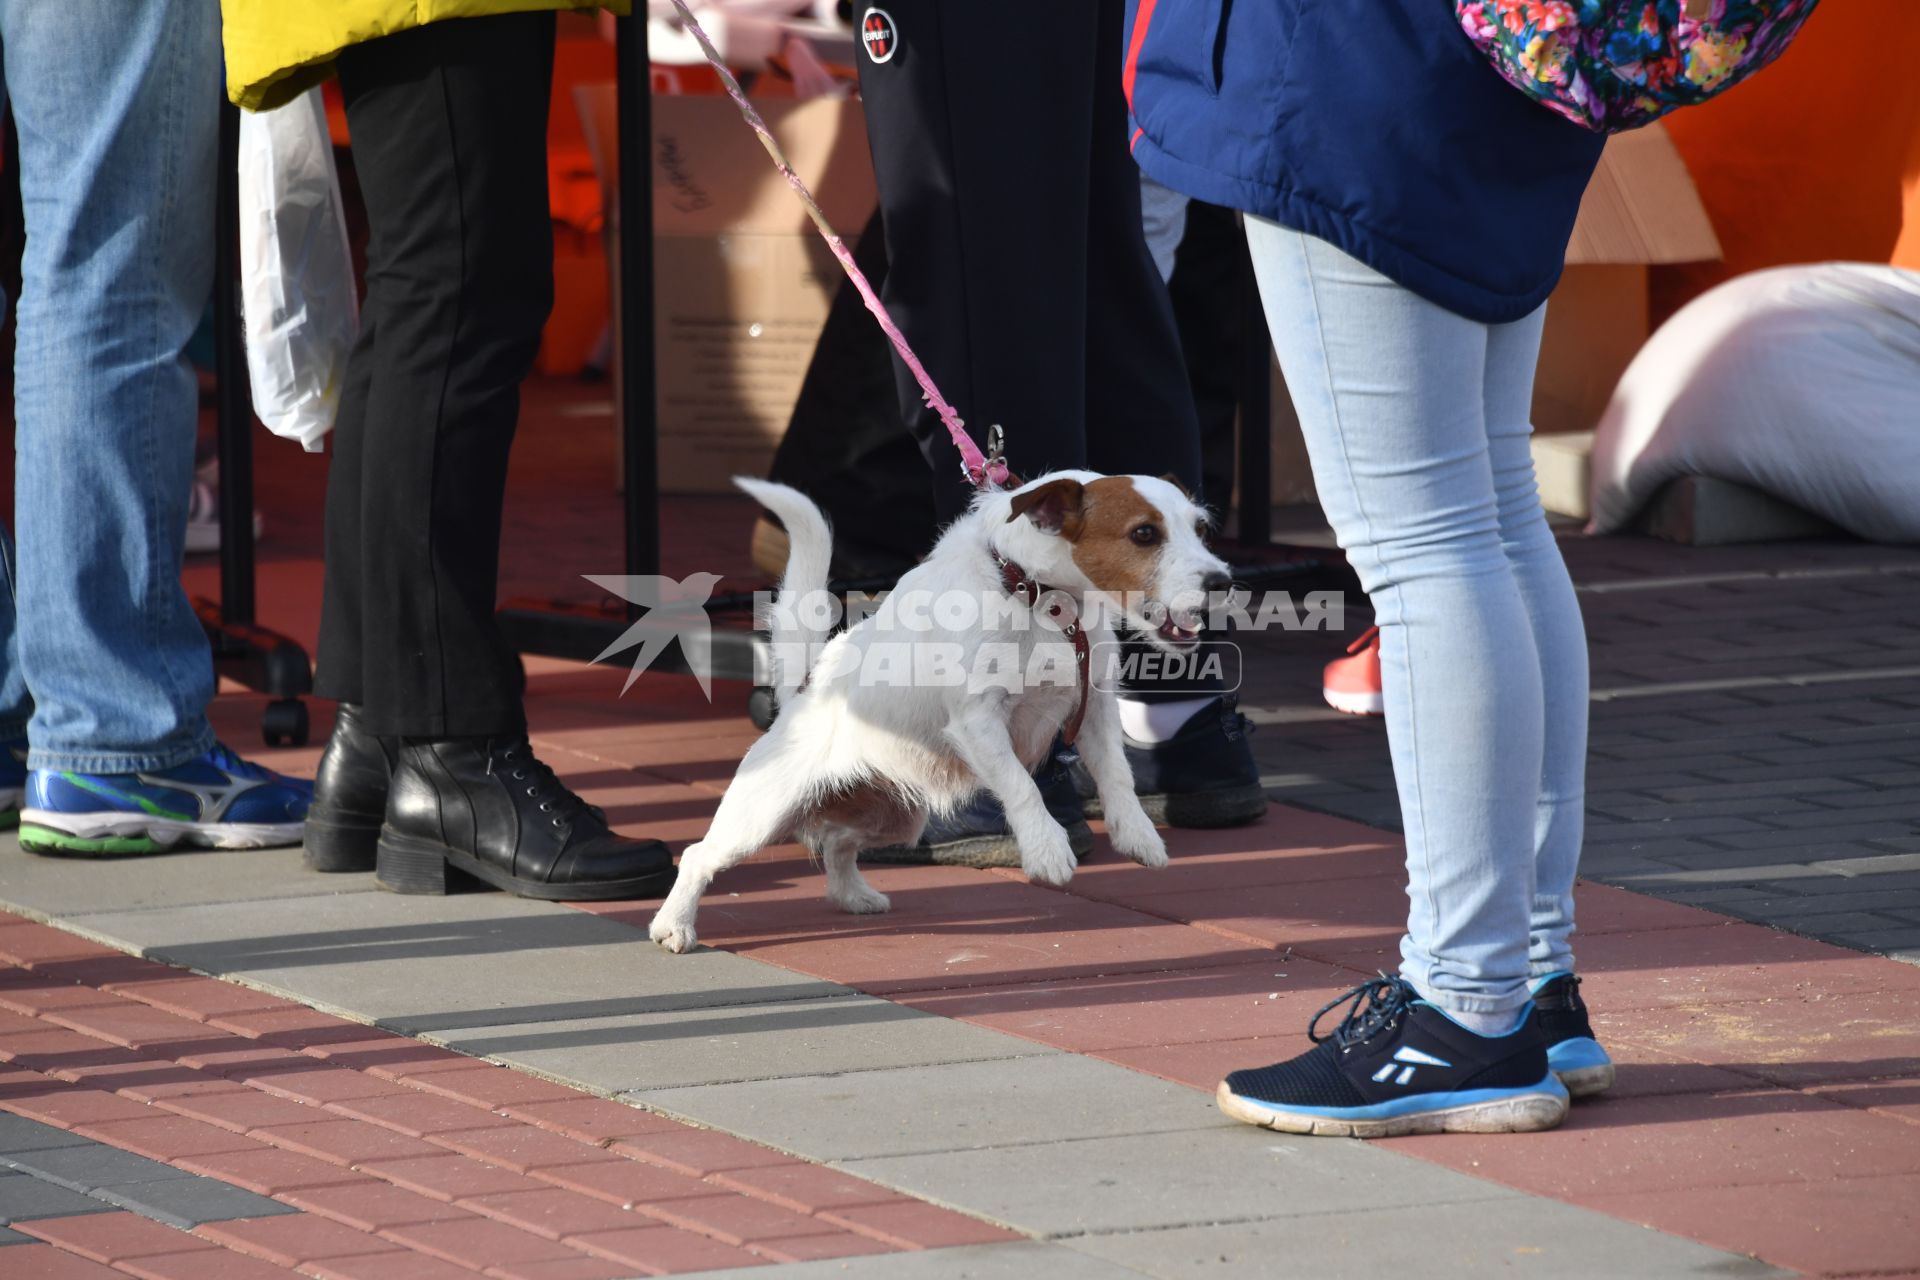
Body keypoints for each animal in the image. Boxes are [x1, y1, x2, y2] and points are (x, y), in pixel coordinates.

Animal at [648, 470, 1228, 951]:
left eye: (1201, 528)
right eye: (1144, 534)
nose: (1222, 580)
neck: (1038, 599)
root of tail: (802, 695)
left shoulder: (1095, 710)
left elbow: (1117, 776)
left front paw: (1137, 834)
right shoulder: (979, 721)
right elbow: (1021, 785)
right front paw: (1046, 848)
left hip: (894, 819)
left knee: (837, 842)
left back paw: (854, 896)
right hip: (761, 815)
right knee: (700, 855)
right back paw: (674, 926)